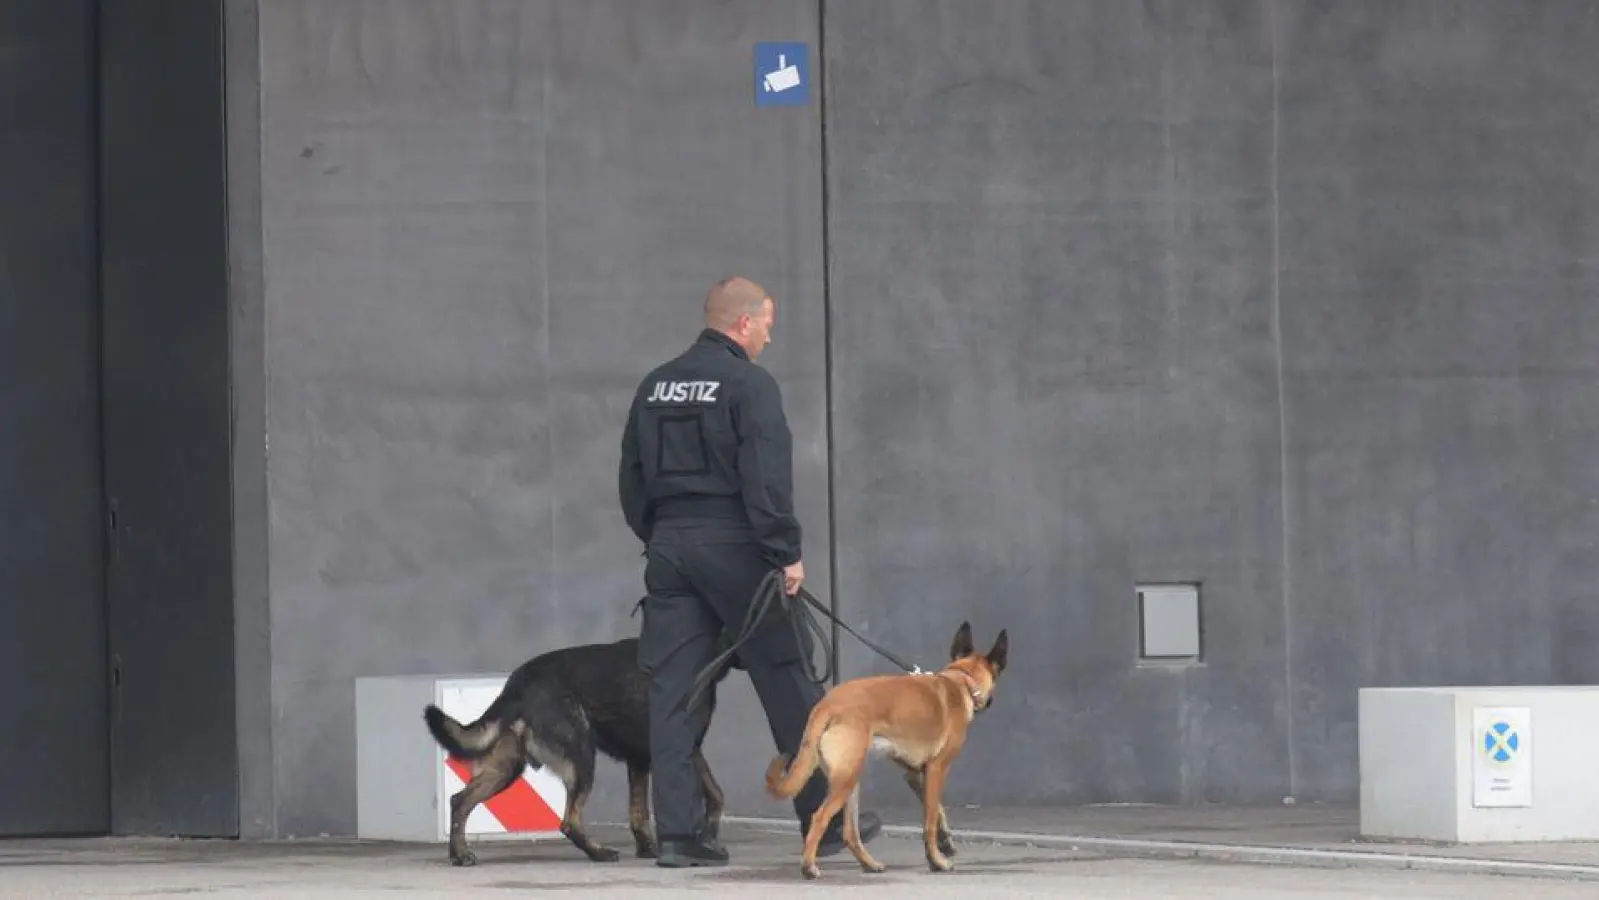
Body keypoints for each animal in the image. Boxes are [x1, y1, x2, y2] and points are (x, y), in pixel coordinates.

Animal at [764, 623, 1010, 876]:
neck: (962, 680)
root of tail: (827, 704)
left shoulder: (915, 774)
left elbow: (936, 810)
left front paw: (945, 843)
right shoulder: (937, 769)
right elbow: (930, 820)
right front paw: (937, 860)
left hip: (850, 778)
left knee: (850, 832)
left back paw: (869, 863)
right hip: (847, 779)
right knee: (820, 817)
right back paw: (809, 866)